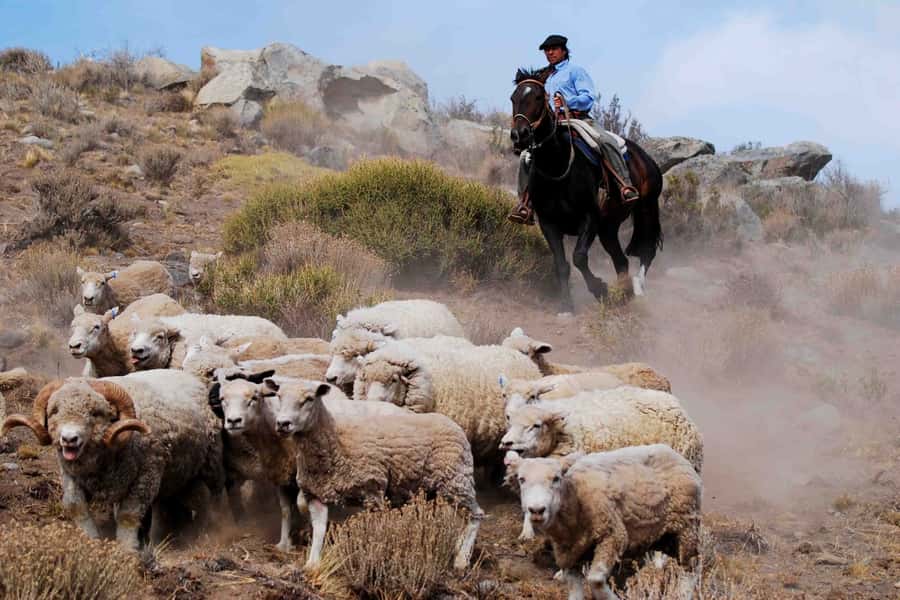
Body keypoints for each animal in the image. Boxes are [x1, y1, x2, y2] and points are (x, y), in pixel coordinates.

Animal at [1, 370, 225, 551]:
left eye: (94, 413)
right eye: (54, 411)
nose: (69, 439)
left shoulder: (146, 476)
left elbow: (128, 515)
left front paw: (127, 548)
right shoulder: (71, 475)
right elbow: (75, 506)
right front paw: (90, 541)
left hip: (211, 466)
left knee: (215, 498)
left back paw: (214, 532)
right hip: (175, 477)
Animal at [269, 379, 483, 569]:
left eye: (309, 399)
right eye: (279, 396)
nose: (282, 424)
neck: (337, 440)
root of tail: (453, 424)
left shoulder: (373, 490)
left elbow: (372, 530)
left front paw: (373, 558)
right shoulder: (316, 493)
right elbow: (319, 529)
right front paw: (312, 564)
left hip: (456, 479)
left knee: (475, 516)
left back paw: (462, 559)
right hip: (437, 488)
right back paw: (456, 546)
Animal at [506, 447, 702, 600]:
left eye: (556, 478)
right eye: (521, 479)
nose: (536, 510)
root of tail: (676, 454)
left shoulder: (613, 536)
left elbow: (595, 580)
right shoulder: (570, 554)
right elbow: (575, 592)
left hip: (686, 528)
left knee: (691, 569)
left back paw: (683, 593)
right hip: (660, 537)